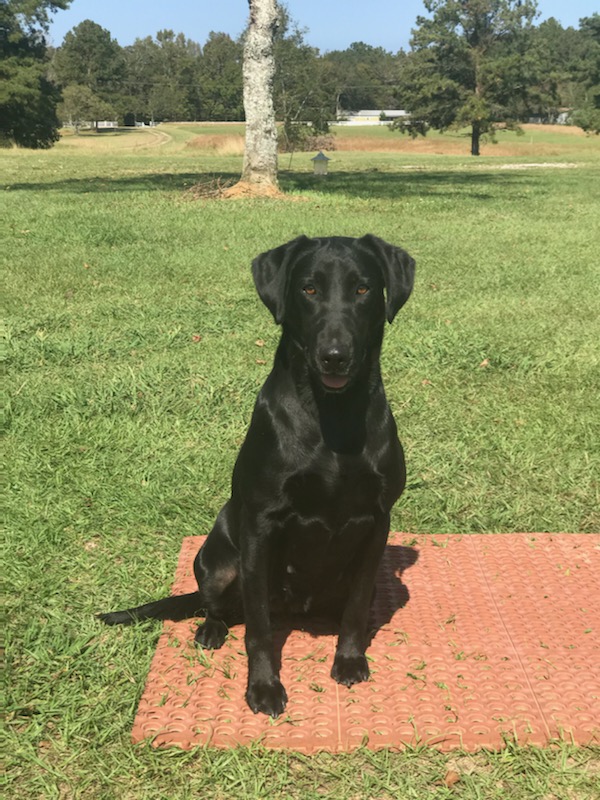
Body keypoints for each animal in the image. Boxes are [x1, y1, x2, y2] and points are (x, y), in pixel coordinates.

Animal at [101, 234, 414, 716]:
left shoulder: (377, 522)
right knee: (217, 606)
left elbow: (357, 608)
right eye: (308, 289)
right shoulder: (262, 525)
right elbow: (259, 628)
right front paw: (264, 687)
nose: (335, 356)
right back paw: (211, 629)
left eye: (363, 289)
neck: (333, 415)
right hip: (218, 562)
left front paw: (349, 659)